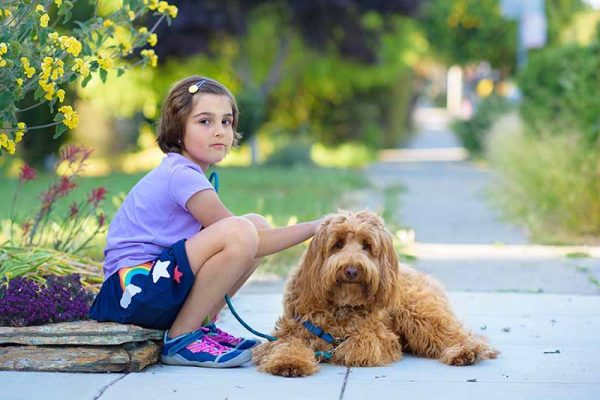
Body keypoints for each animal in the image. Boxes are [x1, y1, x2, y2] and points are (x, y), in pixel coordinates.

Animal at [253, 211, 496, 376]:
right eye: (337, 244)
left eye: (367, 245)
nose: (351, 270)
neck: (341, 306)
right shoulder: (292, 330)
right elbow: (286, 344)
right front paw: (289, 361)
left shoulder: (379, 336)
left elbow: (359, 344)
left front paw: (338, 352)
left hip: (419, 315)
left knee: (454, 335)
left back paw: (465, 352)